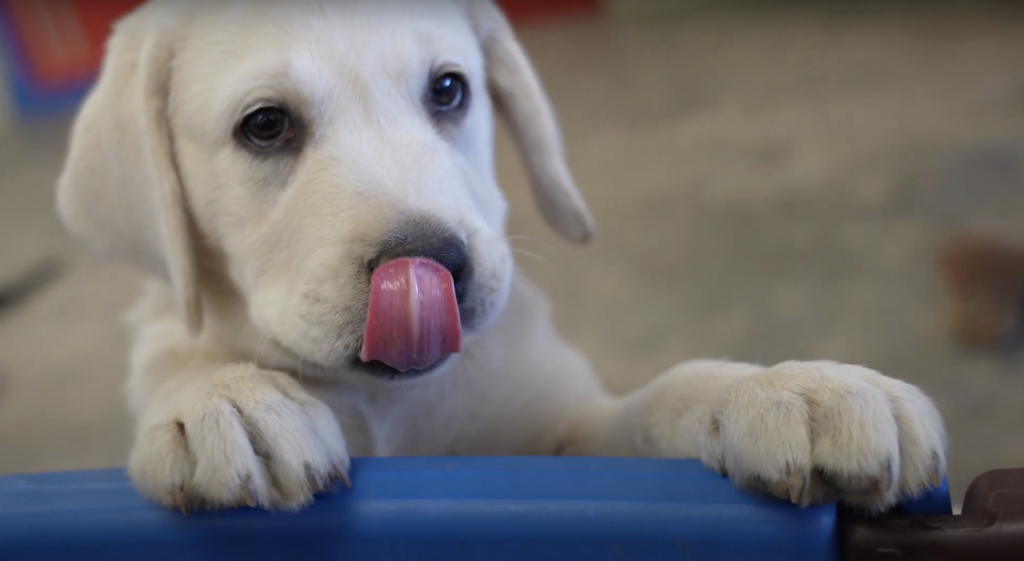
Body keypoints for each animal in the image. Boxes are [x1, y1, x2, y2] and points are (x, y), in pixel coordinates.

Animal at [58, 0, 942, 515]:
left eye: (449, 90)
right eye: (266, 124)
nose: (435, 264)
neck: (390, 403)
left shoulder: (566, 438)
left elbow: (664, 395)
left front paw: (787, 388)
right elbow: (186, 366)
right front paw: (226, 398)